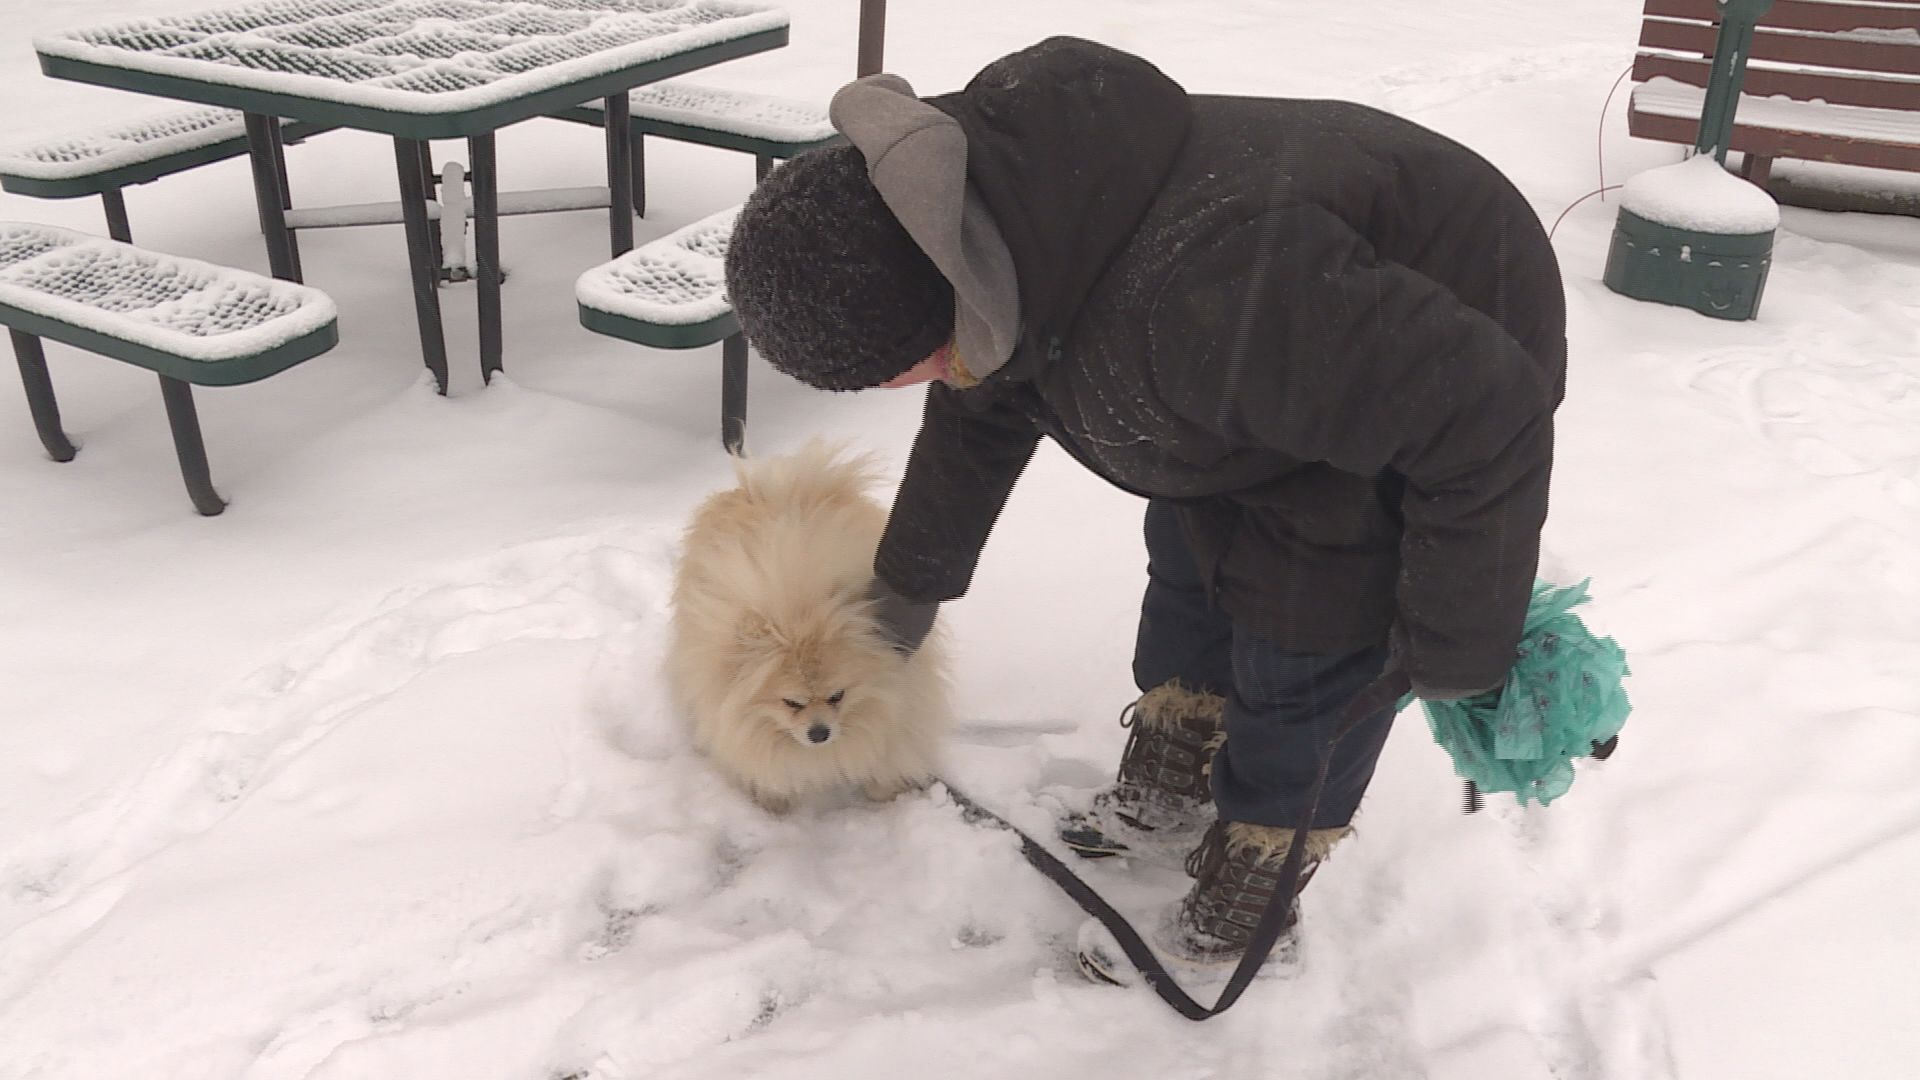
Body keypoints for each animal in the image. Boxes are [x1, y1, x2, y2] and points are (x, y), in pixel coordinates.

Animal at [668, 438, 952, 807]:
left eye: (837, 696)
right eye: (792, 703)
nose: (820, 733)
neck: (801, 613)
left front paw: (884, 793)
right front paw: (772, 802)